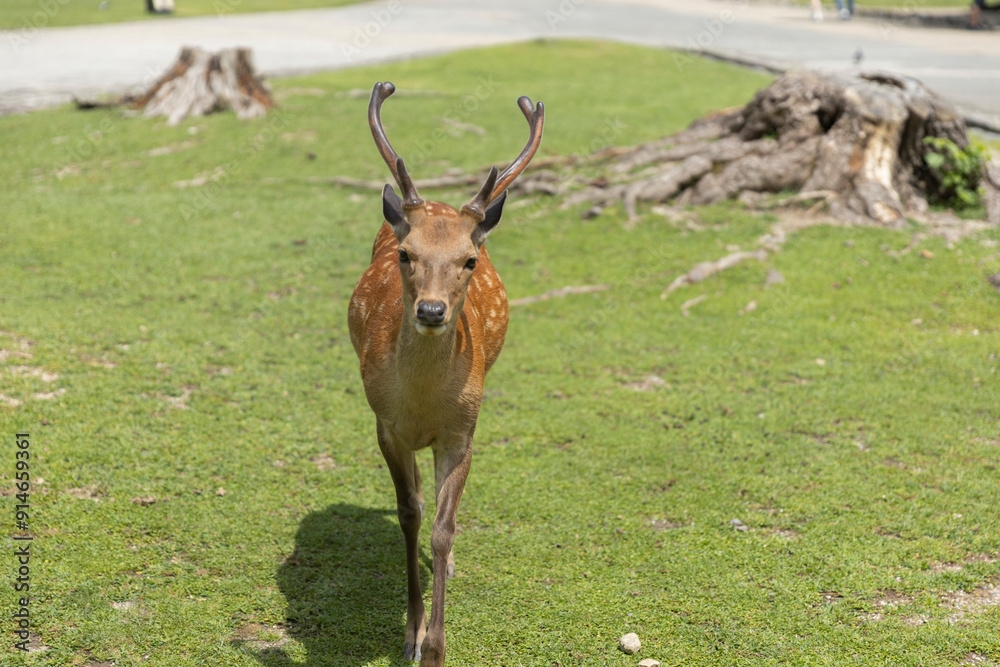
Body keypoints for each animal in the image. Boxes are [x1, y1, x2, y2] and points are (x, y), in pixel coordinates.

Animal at [347, 81, 544, 666]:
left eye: (469, 260)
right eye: (406, 254)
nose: (431, 311)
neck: (421, 403)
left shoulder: (463, 431)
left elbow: (441, 526)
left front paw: (435, 646)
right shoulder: (385, 425)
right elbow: (409, 514)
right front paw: (411, 634)